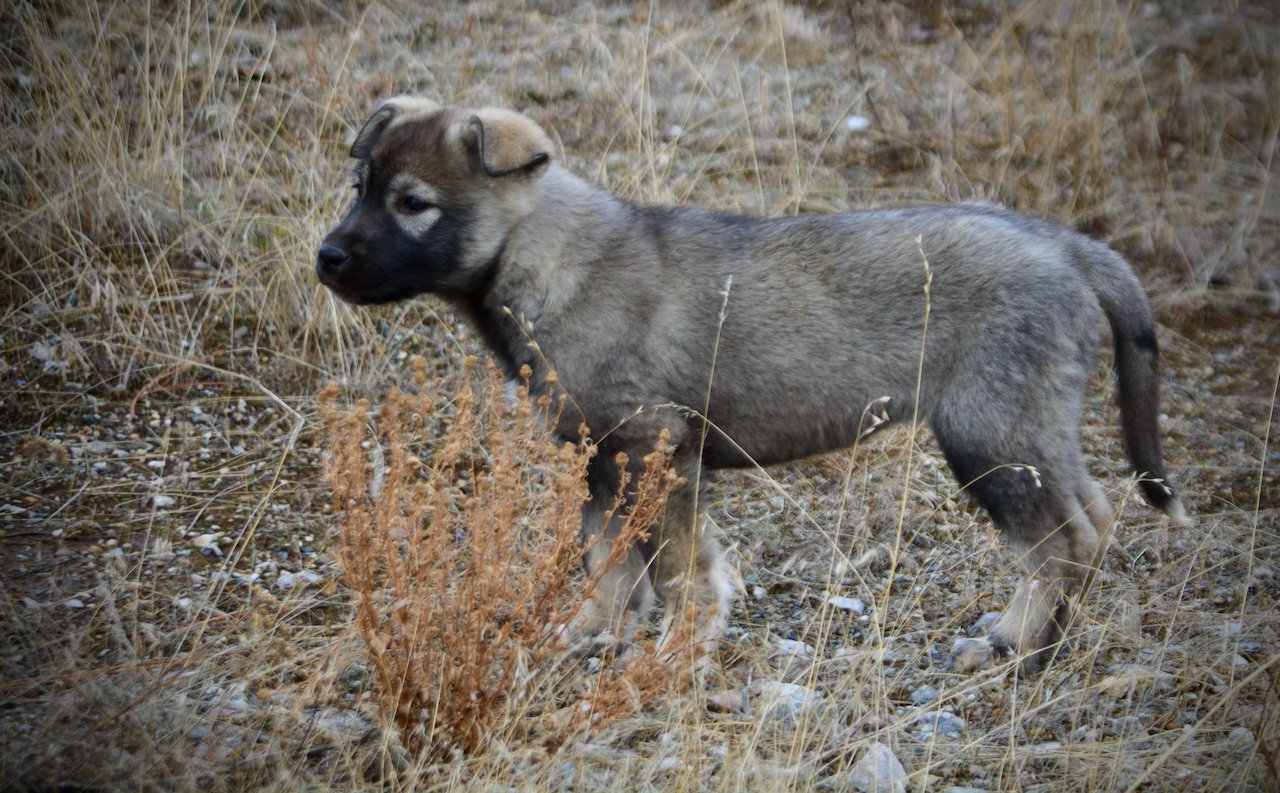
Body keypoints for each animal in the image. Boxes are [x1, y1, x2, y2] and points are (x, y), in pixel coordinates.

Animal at [317, 97, 1187, 670]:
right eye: (359, 186)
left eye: (414, 203)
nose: (325, 258)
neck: (545, 258)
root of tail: (1070, 247)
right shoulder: (604, 458)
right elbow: (610, 562)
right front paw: (587, 635)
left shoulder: (653, 447)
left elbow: (679, 571)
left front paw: (678, 651)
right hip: (1035, 430)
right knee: (1094, 520)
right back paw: (1051, 643)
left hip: (992, 435)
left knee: (1060, 541)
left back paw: (1011, 643)